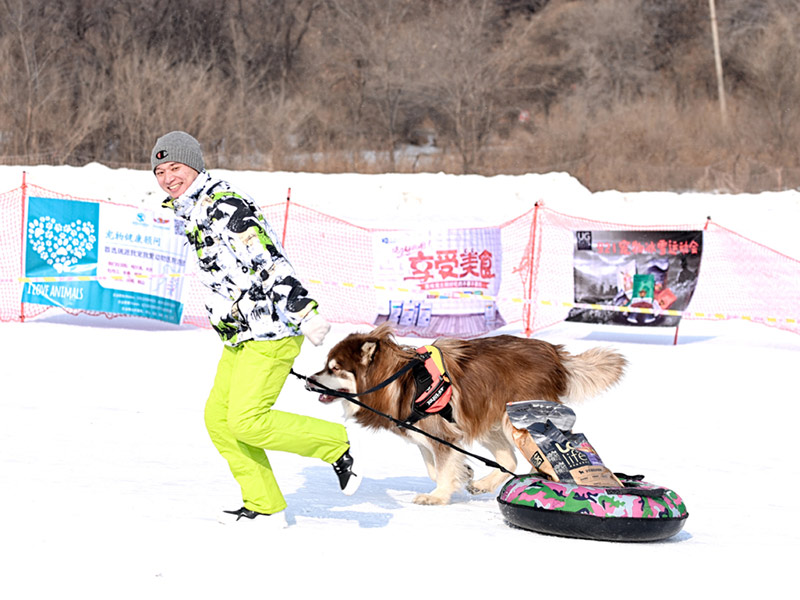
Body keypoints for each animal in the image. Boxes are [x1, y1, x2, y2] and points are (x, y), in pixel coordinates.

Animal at [306, 324, 624, 506]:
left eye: (335, 368)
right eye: (326, 365)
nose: (309, 378)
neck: (397, 378)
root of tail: (556, 355)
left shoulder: (442, 432)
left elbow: (442, 468)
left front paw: (437, 497)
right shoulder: (430, 435)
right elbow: (435, 467)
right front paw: (464, 473)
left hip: (513, 418)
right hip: (488, 420)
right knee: (509, 459)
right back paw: (483, 483)